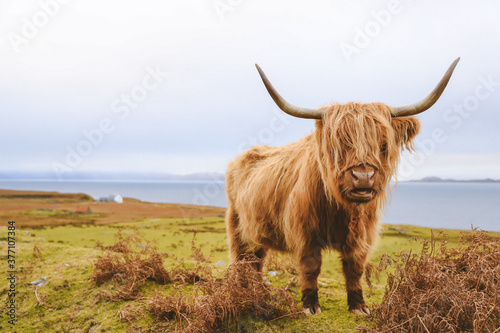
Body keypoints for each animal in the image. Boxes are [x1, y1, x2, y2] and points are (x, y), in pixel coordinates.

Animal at [227, 58, 460, 316]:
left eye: (383, 144)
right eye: (340, 144)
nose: (363, 177)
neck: (342, 209)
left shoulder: (362, 235)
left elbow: (355, 267)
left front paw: (358, 306)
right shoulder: (304, 232)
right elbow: (311, 267)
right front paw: (310, 305)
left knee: (256, 261)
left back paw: (259, 292)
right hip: (237, 226)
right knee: (242, 259)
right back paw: (244, 293)